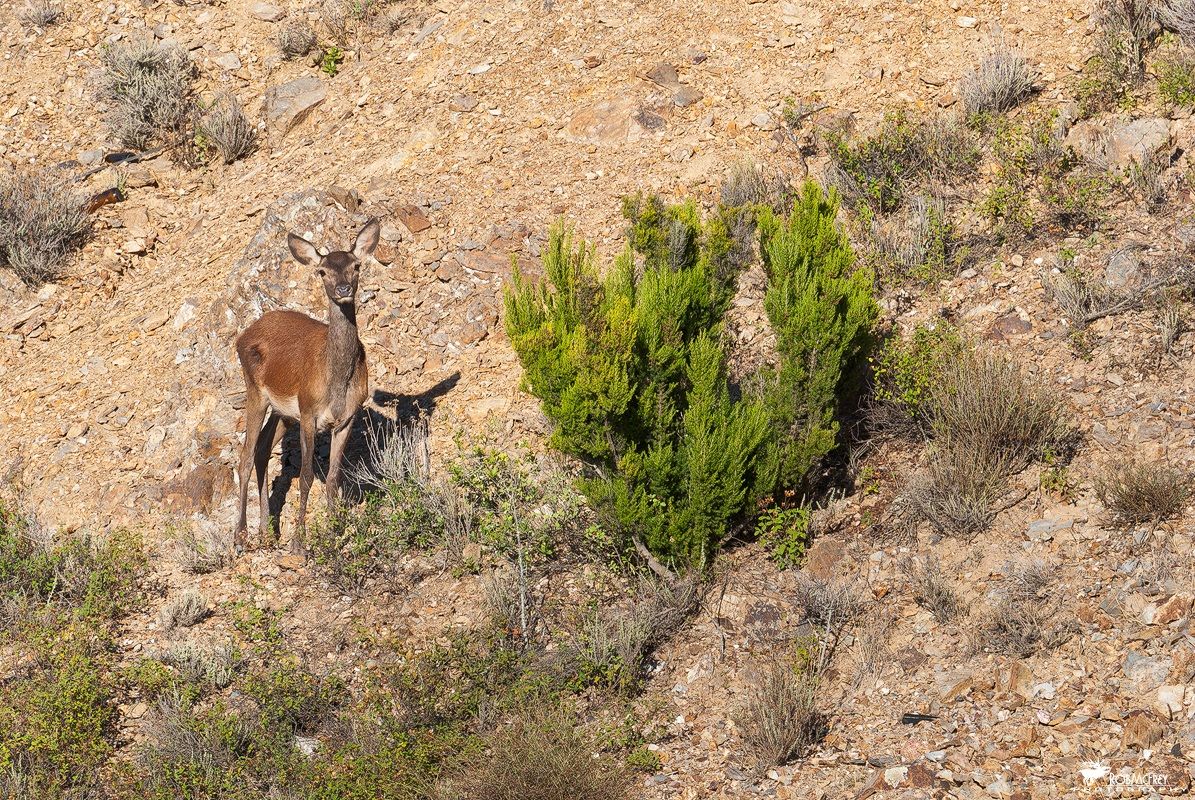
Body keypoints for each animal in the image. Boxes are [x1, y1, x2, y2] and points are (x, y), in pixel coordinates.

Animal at [233, 218, 380, 556]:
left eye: (356, 266)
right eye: (322, 271)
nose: (343, 290)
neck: (336, 381)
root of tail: (242, 336)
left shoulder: (346, 418)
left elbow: (334, 476)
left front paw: (335, 532)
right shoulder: (310, 411)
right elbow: (307, 476)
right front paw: (300, 542)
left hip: (284, 412)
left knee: (262, 450)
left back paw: (267, 532)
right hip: (255, 390)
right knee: (245, 455)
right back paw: (241, 535)